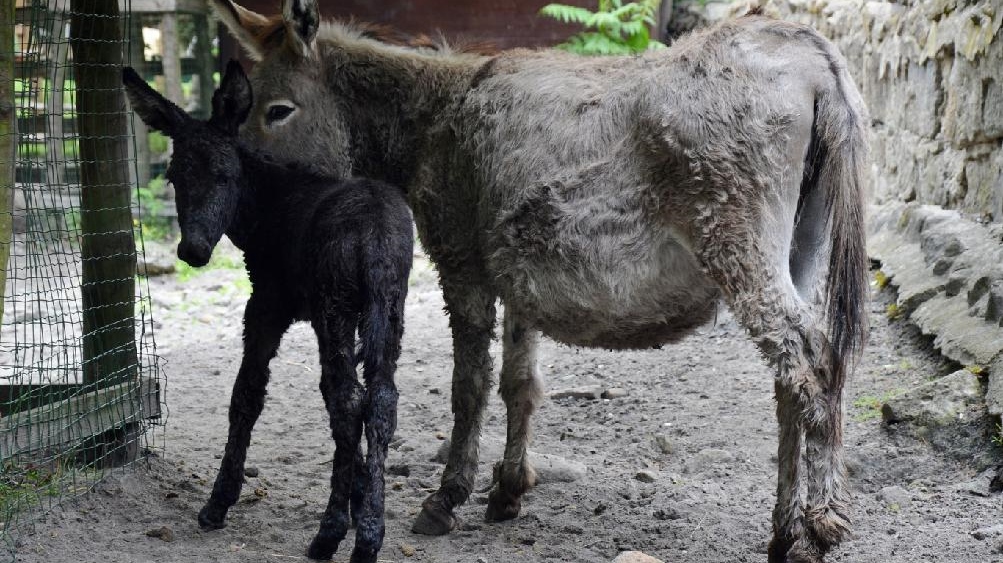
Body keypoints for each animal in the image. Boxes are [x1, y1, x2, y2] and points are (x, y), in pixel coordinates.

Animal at [124, 61, 415, 561]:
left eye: (226, 175)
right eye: (175, 177)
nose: (193, 250)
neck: (261, 214)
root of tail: (375, 233)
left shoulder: (267, 303)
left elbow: (247, 394)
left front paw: (218, 502)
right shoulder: (315, 312)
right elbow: (329, 396)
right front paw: (361, 497)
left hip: (337, 304)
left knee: (349, 399)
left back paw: (330, 533)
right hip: (386, 308)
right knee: (379, 398)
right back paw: (369, 535)